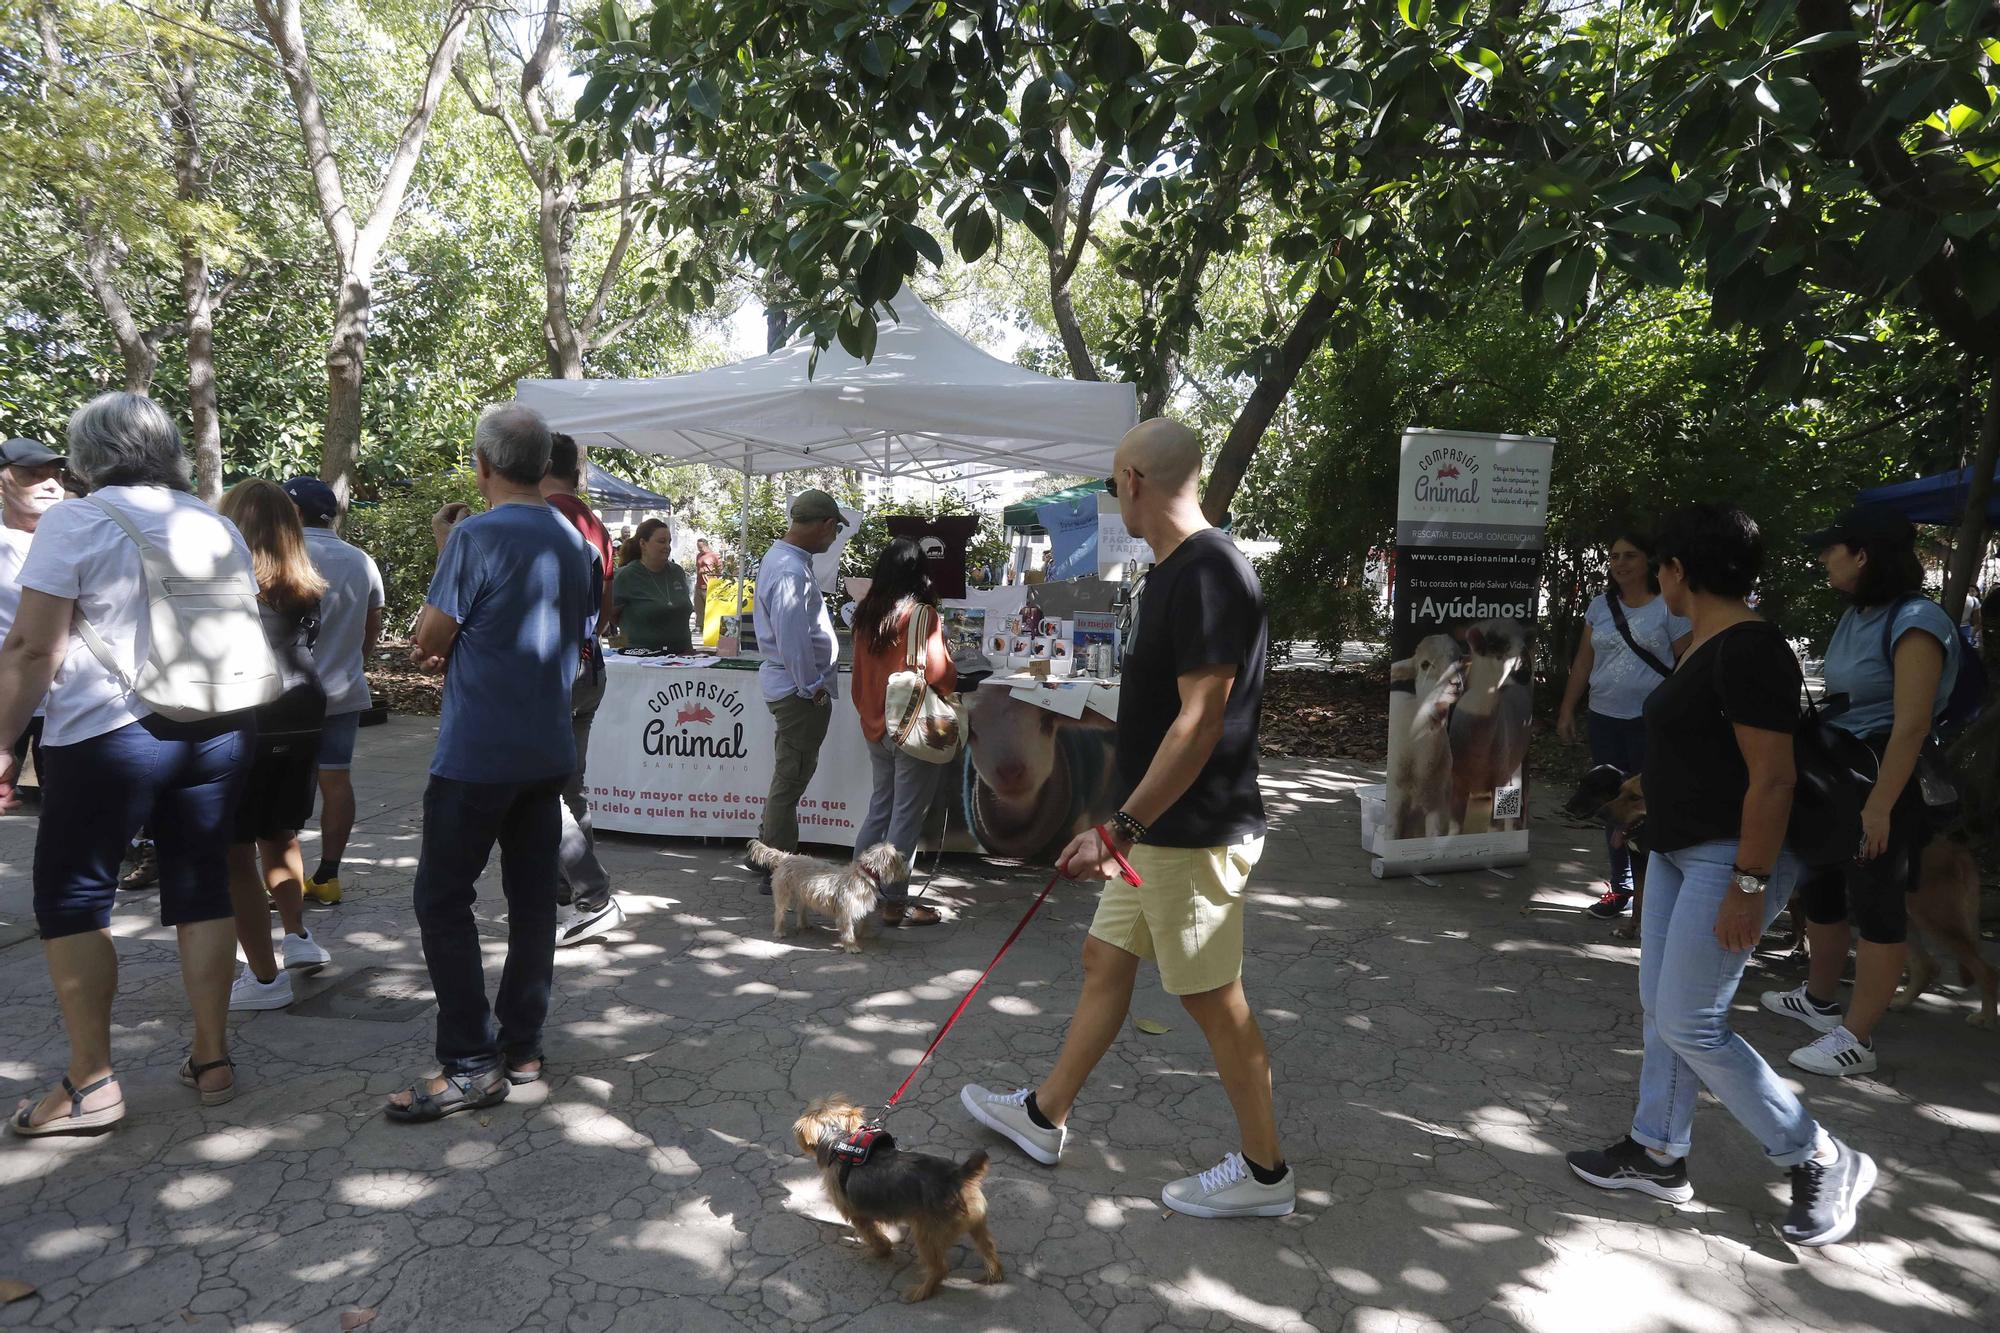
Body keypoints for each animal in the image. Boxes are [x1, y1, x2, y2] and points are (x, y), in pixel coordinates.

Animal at [752, 836, 908, 948]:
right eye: (899, 859)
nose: (906, 860)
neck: (863, 876)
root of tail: (786, 856)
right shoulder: (846, 912)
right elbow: (848, 931)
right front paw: (852, 946)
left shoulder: (859, 906)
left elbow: (862, 922)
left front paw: (863, 934)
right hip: (783, 894)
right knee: (779, 912)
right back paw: (779, 931)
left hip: (803, 894)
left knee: (801, 909)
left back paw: (804, 924)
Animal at [792, 1096, 1008, 1304]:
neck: (838, 1141)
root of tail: (958, 1175)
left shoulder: (858, 1215)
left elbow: (873, 1235)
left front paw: (882, 1250)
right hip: (976, 1222)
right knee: (988, 1246)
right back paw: (994, 1273)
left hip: (927, 1233)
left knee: (939, 1268)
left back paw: (921, 1291)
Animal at [1880, 836, 1992, 1020]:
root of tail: (1955, 850)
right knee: (1926, 966)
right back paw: (1901, 1003)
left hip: (1932, 923)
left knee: (1987, 971)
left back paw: (1984, 1018)